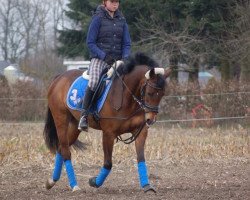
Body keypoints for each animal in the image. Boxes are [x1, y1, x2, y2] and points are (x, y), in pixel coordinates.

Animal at [43, 52, 172, 193]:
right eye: (149, 93)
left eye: (163, 94)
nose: (150, 119)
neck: (127, 98)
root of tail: (59, 77)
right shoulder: (108, 134)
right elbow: (108, 163)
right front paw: (94, 182)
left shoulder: (140, 132)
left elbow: (141, 158)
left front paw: (147, 186)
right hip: (61, 120)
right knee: (66, 151)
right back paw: (74, 185)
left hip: (73, 126)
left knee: (61, 148)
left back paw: (51, 181)